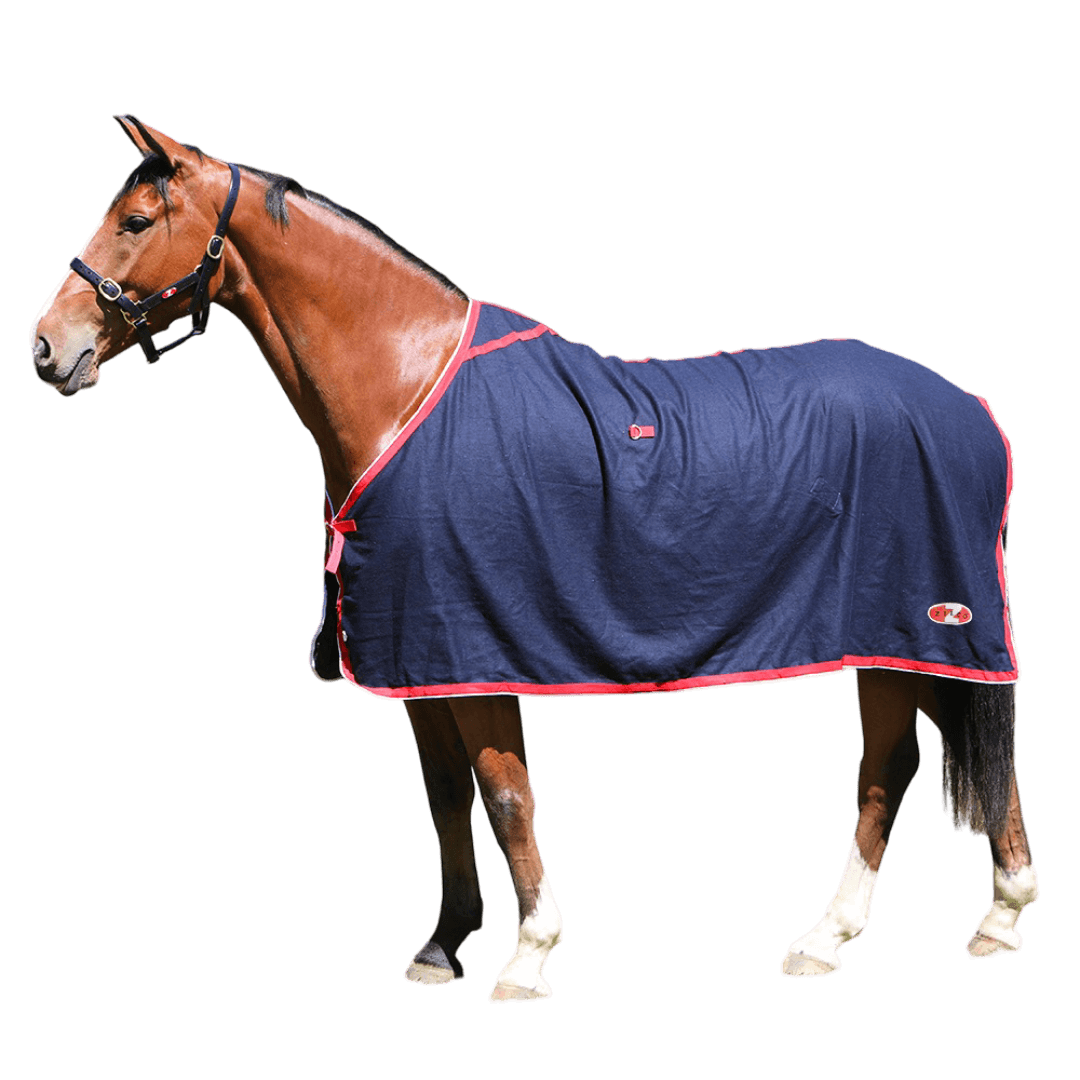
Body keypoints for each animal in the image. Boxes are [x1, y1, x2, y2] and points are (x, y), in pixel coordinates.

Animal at [29, 115, 1039, 1003]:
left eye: (136, 222)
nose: (45, 346)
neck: (407, 388)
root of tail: (971, 407)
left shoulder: (479, 645)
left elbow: (506, 794)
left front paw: (528, 957)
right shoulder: (418, 655)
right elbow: (445, 794)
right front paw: (443, 944)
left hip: (913, 626)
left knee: (891, 764)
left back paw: (871, 931)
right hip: (902, 638)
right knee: (920, 754)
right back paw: (965, 920)